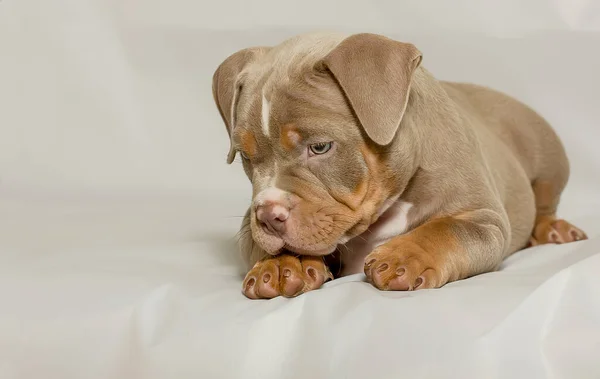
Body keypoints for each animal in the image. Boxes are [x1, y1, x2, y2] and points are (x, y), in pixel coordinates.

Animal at [211, 31, 584, 300]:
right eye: (246, 157)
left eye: (320, 147)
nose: (267, 216)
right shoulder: (250, 224)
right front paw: (280, 265)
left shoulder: (485, 218)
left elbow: (448, 228)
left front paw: (406, 256)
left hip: (548, 157)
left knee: (545, 201)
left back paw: (554, 229)